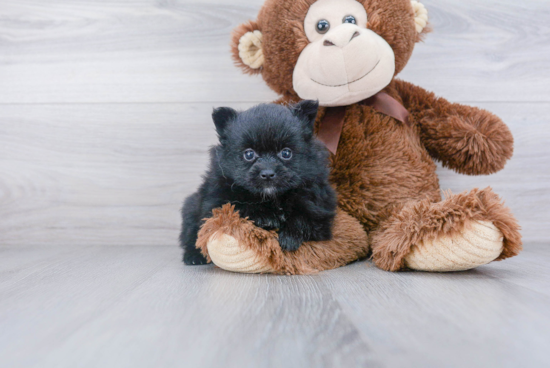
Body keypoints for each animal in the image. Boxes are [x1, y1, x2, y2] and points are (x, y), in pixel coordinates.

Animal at [181, 101, 336, 264]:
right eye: (249, 154)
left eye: (286, 153)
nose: (267, 174)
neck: (272, 197)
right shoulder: (218, 201)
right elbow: (240, 206)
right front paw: (265, 217)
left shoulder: (319, 207)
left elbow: (304, 217)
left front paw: (290, 237)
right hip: (191, 208)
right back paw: (194, 256)